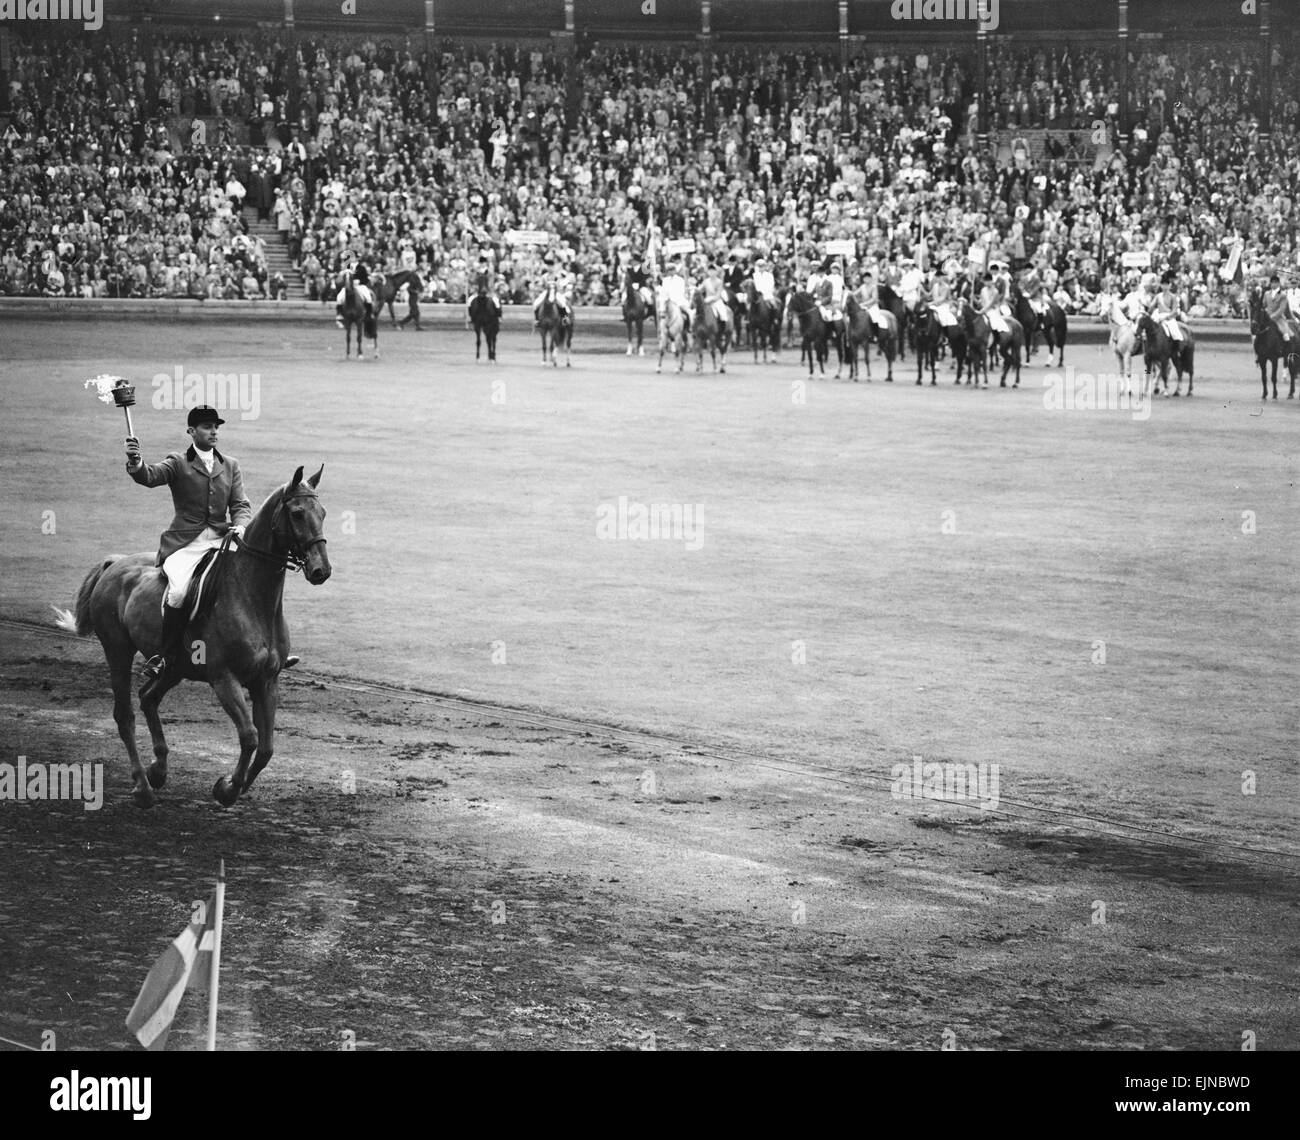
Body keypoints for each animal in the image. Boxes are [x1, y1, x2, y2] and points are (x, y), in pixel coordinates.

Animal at [52, 467, 330, 805]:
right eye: (298, 513)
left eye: (323, 513)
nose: (321, 570)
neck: (252, 597)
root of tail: (115, 563)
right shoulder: (224, 678)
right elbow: (250, 737)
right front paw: (227, 789)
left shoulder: (266, 680)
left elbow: (266, 749)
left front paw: (231, 787)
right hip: (118, 651)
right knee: (125, 716)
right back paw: (143, 786)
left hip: (175, 667)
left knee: (148, 698)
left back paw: (158, 770)